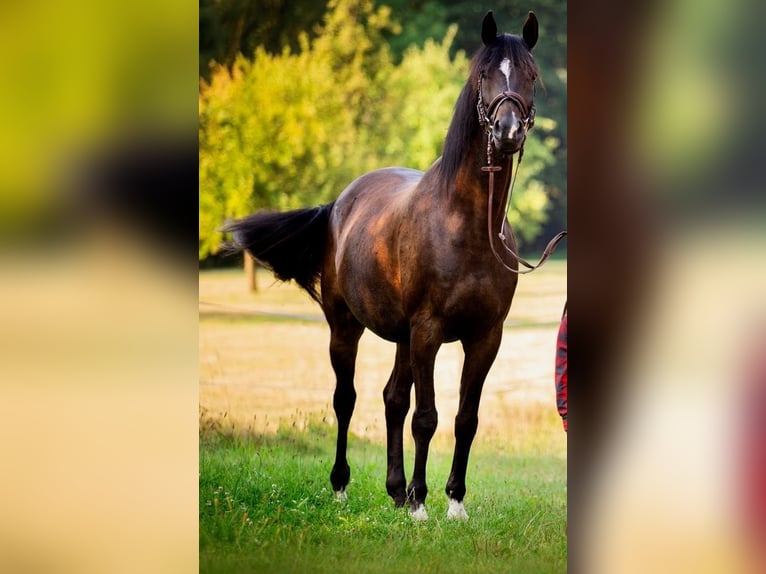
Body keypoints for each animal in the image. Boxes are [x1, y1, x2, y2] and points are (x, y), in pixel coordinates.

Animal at [225, 10, 541, 520]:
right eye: (484, 75)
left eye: (530, 75)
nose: (507, 130)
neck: (468, 227)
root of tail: (339, 202)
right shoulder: (429, 331)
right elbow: (427, 417)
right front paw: (421, 505)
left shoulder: (484, 338)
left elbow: (465, 418)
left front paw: (453, 502)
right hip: (346, 327)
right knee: (346, 400)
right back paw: (342, 486)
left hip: (401, 338)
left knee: (393, 398)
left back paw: (395, 490)